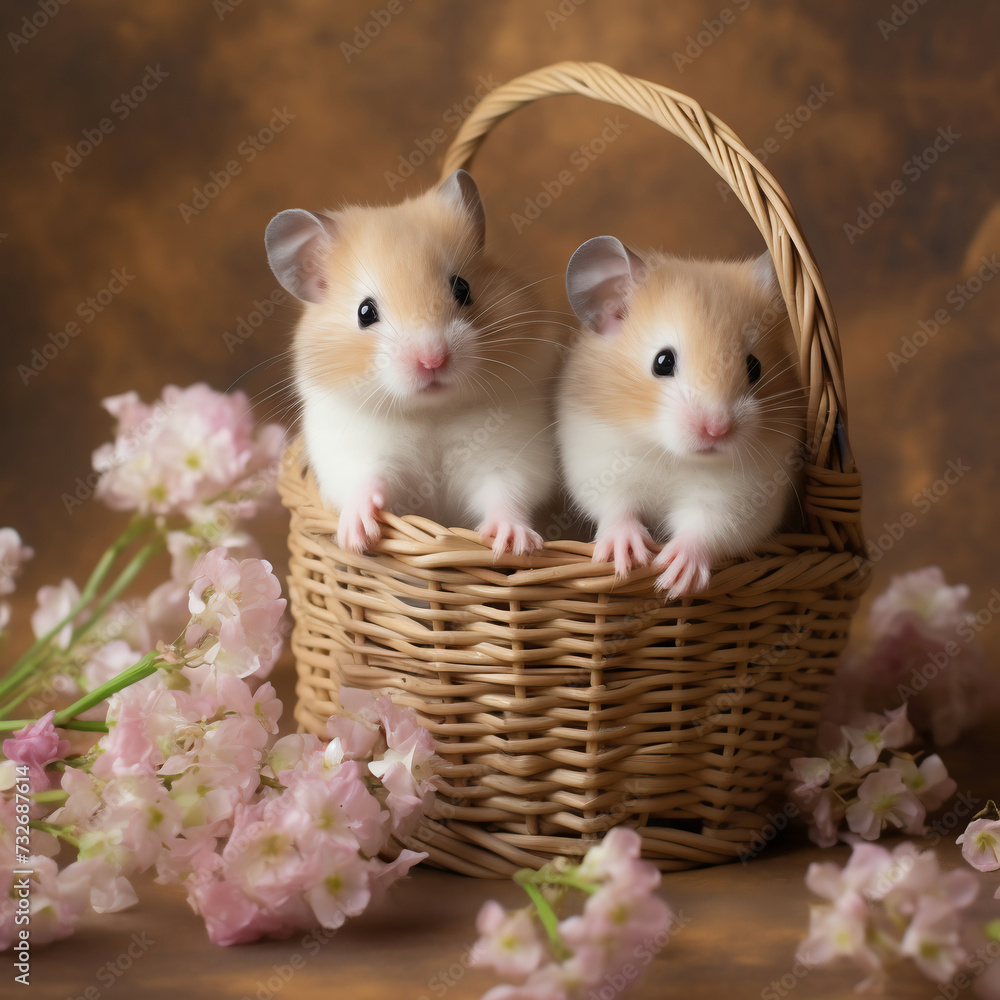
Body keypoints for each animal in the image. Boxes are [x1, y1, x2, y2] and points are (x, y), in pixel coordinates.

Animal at [265, 170, 563, 558]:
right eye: (365, 312)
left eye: (462, 288)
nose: (432, 359)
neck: (430, 412)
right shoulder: (353, 454)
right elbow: (365, 481)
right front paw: (357, 537)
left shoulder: (512, 455)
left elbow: (506, 492)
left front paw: (513, 544)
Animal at [558, 236, 806, 597]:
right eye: (662, 362)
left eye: (754, 366)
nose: (716, 430)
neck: (674, 456)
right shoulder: (599, 463)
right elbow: (617, 508)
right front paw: (627, 559)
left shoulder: (744, 497)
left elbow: (705, 528)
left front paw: (671, 578)